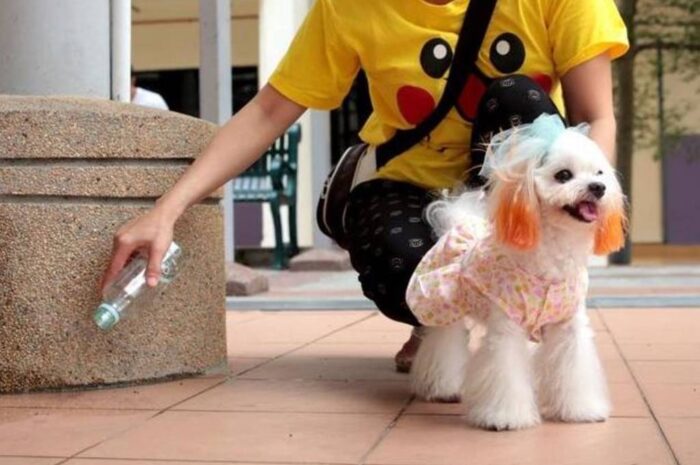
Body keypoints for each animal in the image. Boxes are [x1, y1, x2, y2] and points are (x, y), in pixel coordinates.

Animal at [408, 113, 628, 432]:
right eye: (564, 175)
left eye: (598, 173)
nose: (598, 188)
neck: (553, 255)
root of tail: (460, 223)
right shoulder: (507, 329)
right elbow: (506, 373)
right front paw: (505, 417)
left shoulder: (569, 327)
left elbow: (574, 368)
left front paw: (581, 409)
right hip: (443, 305)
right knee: (444, 343)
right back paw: (441, 387)